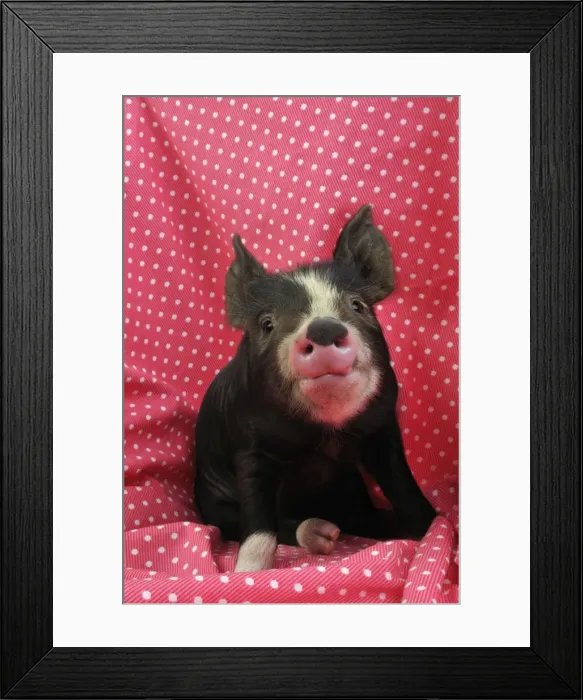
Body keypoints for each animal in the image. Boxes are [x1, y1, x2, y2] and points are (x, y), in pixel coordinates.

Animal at [194, 204, 436, 572]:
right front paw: (246, 572)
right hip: (212, 502)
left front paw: (435, 529)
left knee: (361, 517)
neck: (325, 434)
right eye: (267, 324)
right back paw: (323, 535)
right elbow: (259, 524)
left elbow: (403, 486)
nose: (323, 328)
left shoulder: (382, 427)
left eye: (357, 305)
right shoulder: (249, 449)